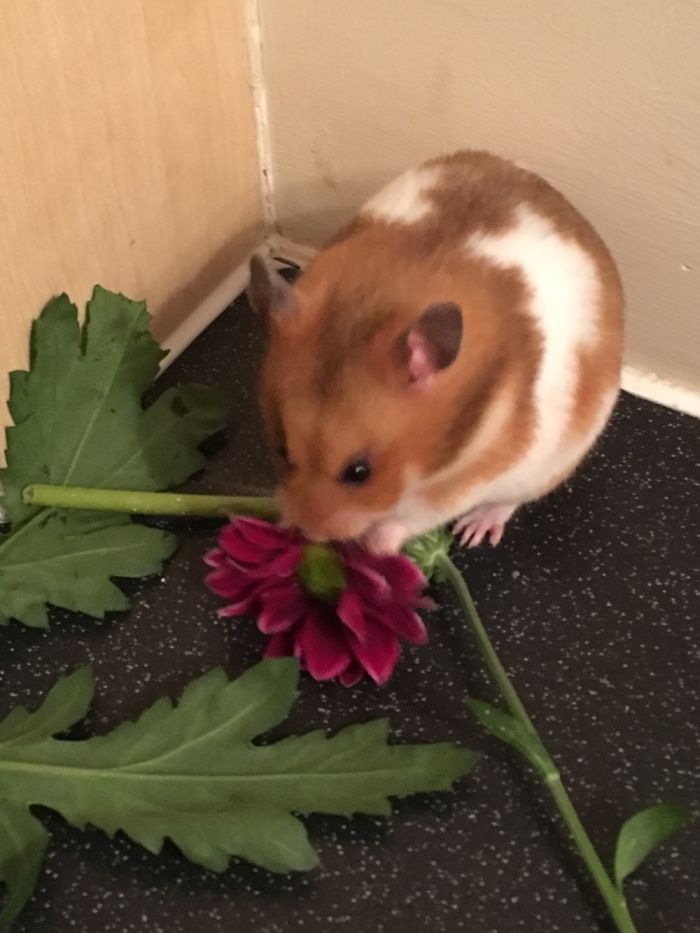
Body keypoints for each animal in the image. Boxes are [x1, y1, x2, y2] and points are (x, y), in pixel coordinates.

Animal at [247, 150, 623, 553]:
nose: (308, 533)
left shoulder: (478, 472)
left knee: (507, 502)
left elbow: (417, 514)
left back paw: (474, 531)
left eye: (359, 472)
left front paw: (377, 545)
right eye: (281, 448)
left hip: (549, 466)